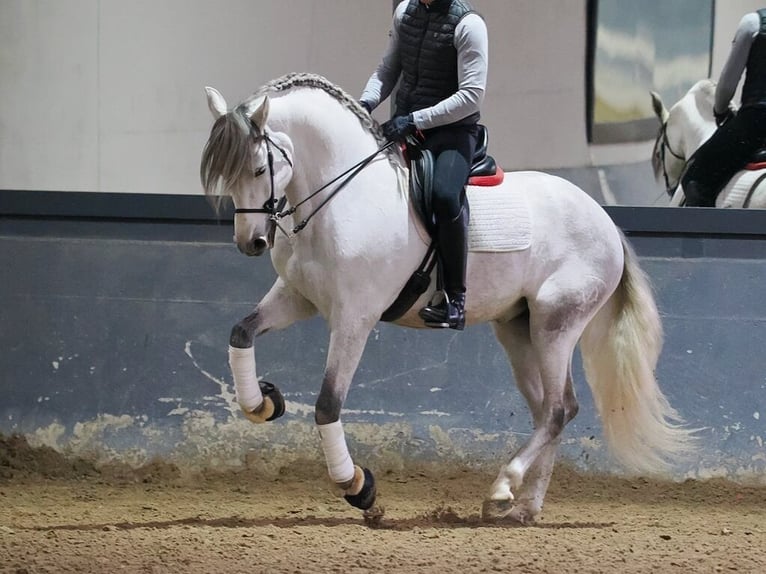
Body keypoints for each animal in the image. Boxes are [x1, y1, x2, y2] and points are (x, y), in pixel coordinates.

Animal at [202, 72, 696, 528]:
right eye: (227, 173)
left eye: (258, 169)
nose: (251, 242)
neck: (342, 197)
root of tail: (606, 221)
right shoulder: (297, 297)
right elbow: (241, 333)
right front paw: (263, 402)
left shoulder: (354, 318)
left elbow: (327, 404)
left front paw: (359, 488)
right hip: (519, 330)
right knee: (552, 410)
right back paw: (521, 507)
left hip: (556, 324)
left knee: (557, 411)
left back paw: (502, 489)